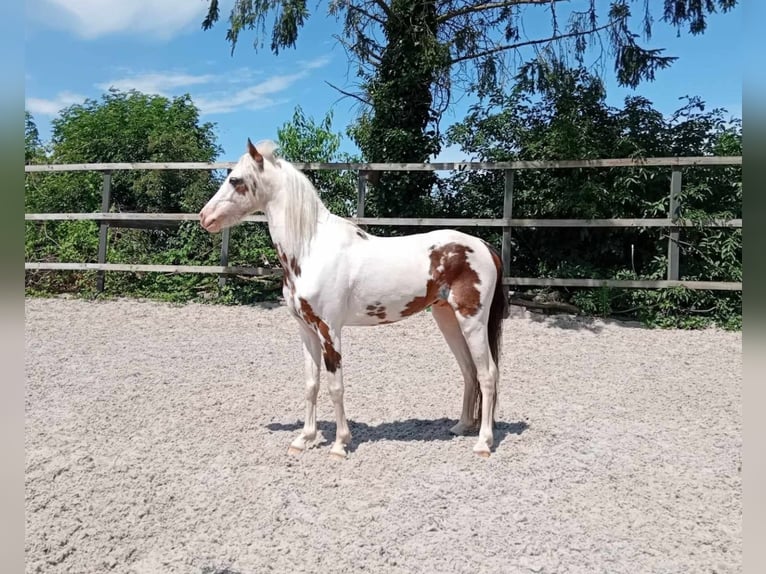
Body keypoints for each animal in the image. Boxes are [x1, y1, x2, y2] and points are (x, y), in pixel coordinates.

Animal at [200, 138, 510, 460]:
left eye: (235, 180)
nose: (204, 217)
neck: (311, 248)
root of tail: (485, 247)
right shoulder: (306, 330)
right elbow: (311, 384)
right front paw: (304, 439)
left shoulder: (329, 330)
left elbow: (335, 387)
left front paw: (339, 444)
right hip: (447, 318)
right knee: (469, 371)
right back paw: (461, 426)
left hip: (472, 320)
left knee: (488, 374)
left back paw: (483, 443)